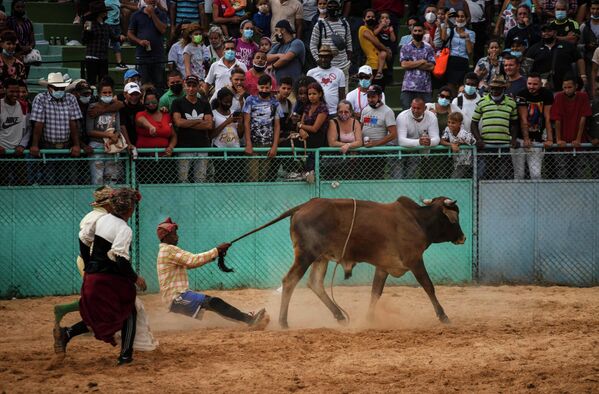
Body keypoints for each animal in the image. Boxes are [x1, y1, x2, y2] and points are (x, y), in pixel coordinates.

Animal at [233, 195, 464, 328]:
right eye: (455, 218)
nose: (463, 237)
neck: (417, 220)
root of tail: (304, 205)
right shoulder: (415, 260)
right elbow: (428, 286)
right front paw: (443, 316)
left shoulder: (383, 266)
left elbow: (375, 292)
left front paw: (369, 319)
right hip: (306, 255)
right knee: (290, 281)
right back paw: (283, 321)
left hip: (321, 258)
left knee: (315, 284)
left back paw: (339, 316)